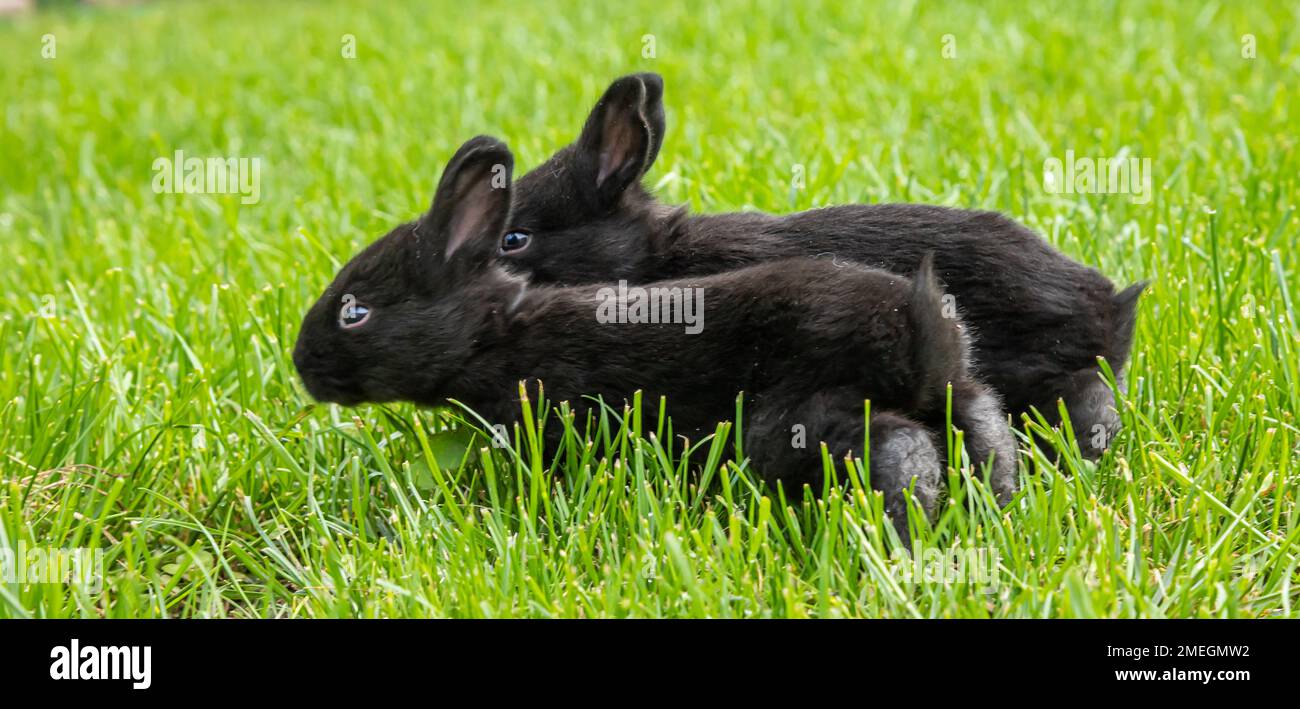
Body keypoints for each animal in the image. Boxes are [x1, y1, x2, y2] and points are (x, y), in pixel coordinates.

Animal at [293, 135, 1019, 544]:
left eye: (354, 314)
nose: (302, 364)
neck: (499, 332)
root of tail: (918, 330)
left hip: (798, 418)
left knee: (896, 448)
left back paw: (898, 534)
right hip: (956, 399)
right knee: (981, 429)